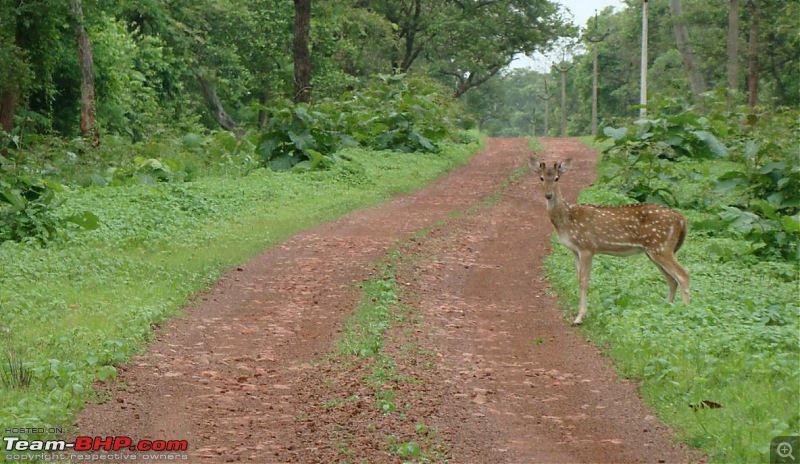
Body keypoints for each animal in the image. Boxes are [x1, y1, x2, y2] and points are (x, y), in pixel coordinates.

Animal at [532, 158, 688, 324]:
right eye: (541, 178)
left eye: (557, 178)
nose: (548, 195)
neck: (567, 220)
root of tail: (681, 219)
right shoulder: (575, 250)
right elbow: (579, 279)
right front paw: (581, 314)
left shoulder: (587, 247)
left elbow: (584, 280)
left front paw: (579, 318)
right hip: (654, 251)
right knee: (672, 279)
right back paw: (667, 308)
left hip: (662, 247)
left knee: (683, 275)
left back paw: (685, 311)